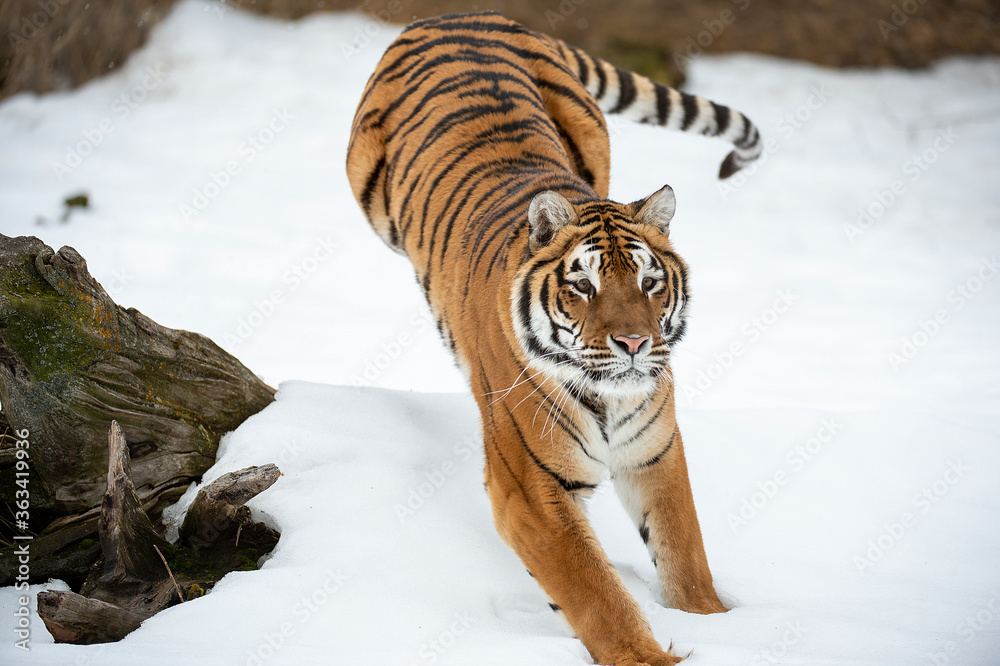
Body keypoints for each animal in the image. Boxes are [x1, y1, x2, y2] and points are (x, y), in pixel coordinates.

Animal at [346, 12, 761, 665]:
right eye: (584, 286)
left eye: (649, 283)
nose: (633, 345)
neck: (611, 396)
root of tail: (460, 15)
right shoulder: (532, 490)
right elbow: (595, 590)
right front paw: (647, 655)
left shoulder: (656, 453)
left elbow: (684, 551)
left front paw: (715, 623)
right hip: (365, 179)